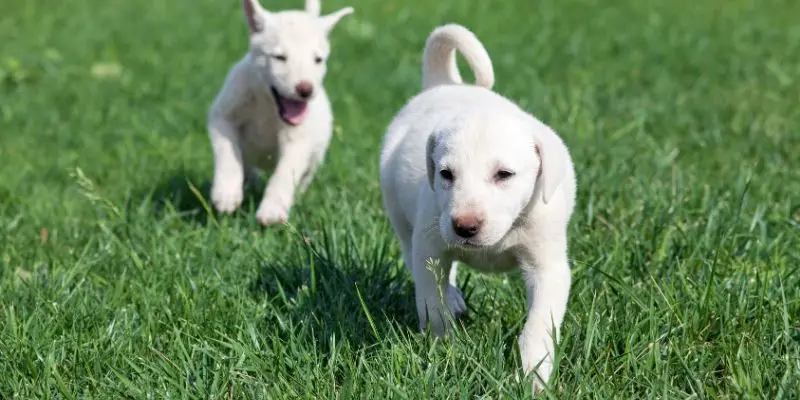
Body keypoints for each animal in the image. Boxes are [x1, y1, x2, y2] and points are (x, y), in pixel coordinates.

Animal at [206, 0, 354, 223]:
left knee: (302, 178)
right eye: (280, 57)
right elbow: (228, 153)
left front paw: (272, 210)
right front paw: (226, 194)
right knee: (247, 165)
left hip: (315, 156)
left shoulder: (298, 140)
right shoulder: (223, 117)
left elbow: (285, 172)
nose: (305, 89)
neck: (268, 105)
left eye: (318, 59)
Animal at [378, 24, 580, 390]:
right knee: (417, 257)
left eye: (504, 174)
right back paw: (454, 298)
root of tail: (444, 83)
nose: (465, 226)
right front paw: (445, 349)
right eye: (446, 174)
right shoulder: (431, 247)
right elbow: (433, 306)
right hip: (402, 219)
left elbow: (539, 324)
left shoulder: (547, 265)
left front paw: (534, 376)